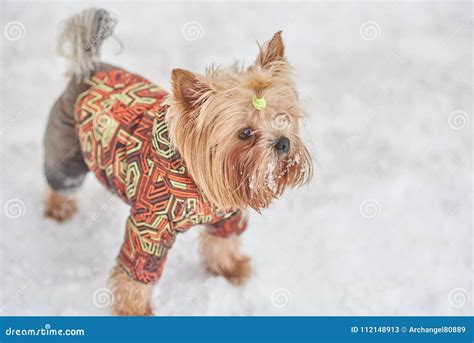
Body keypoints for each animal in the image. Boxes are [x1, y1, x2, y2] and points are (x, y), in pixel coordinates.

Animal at [43, 8, 312, 316]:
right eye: (245, 133)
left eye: (283, 117)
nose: (283, 143)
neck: (193, 181)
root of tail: (88, 69)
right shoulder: (148, 227)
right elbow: (137, 273)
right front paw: (134, 310)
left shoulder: (226, 216)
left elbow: (223, 243)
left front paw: (230, 269)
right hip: (65, 147)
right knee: (60, 181)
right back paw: (59, 209)